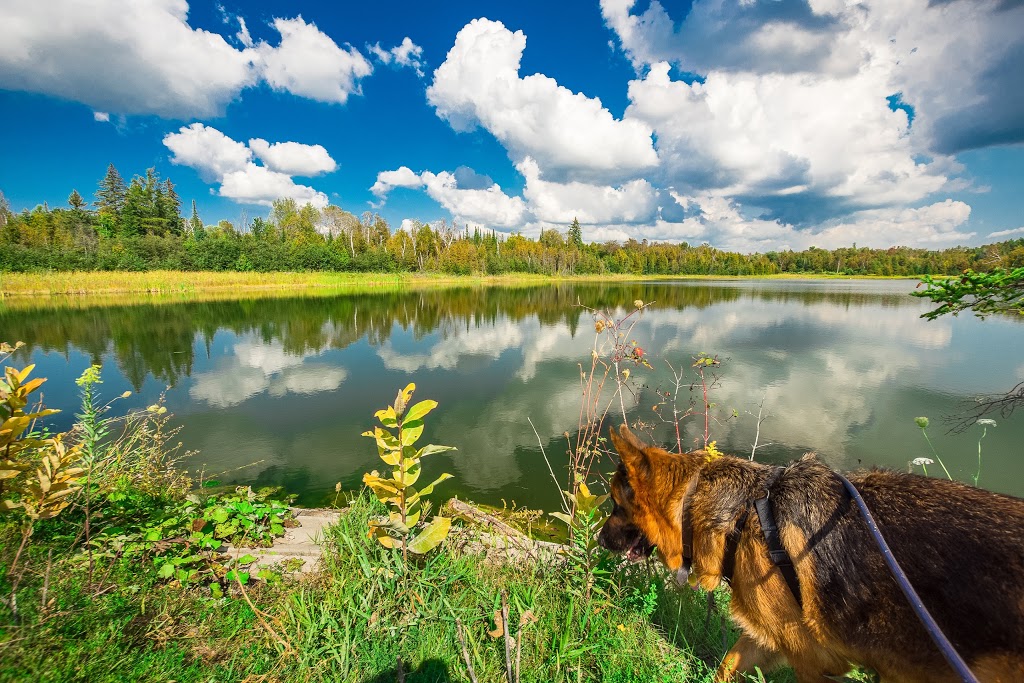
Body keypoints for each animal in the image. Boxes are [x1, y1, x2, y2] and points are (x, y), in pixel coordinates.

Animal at [598, 423, 1024, 679]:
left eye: (616, 505)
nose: (599, 540)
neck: (741, 514)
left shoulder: (809, 658)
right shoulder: (772, 634)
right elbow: (728, 664)